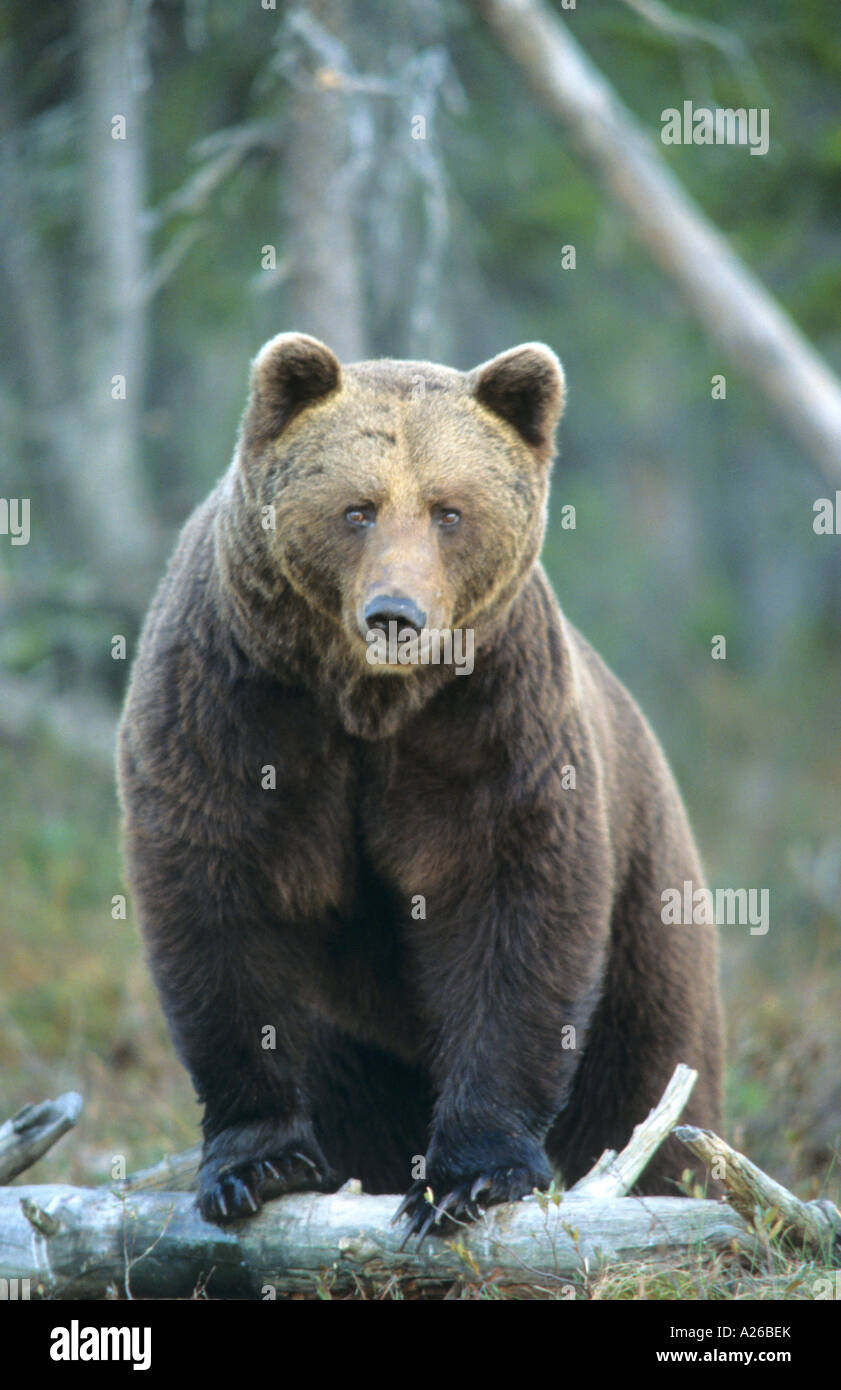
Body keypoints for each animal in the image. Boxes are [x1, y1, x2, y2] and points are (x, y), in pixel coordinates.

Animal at [117, 332, 723, 1240]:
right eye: (357, 509)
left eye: (448, 510)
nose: (395, 615)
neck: (369, 703)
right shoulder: (233, 706)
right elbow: (220, 906)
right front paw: (257, 1163)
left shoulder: (491, 723)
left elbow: (512, 912)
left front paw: (467, 1179)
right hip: (354, 1034)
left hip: (650, 917)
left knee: (650, 1084)